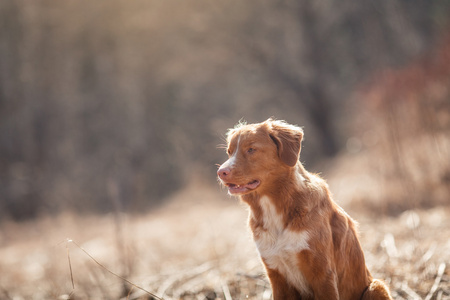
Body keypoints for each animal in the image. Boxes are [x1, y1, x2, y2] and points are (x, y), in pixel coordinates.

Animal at [217, 119, 390, 300]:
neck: (275, 207)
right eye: (229, 152)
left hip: (376, 286)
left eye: (251, 149)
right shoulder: (276, 274)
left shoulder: (322, 273)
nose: (221, 172)